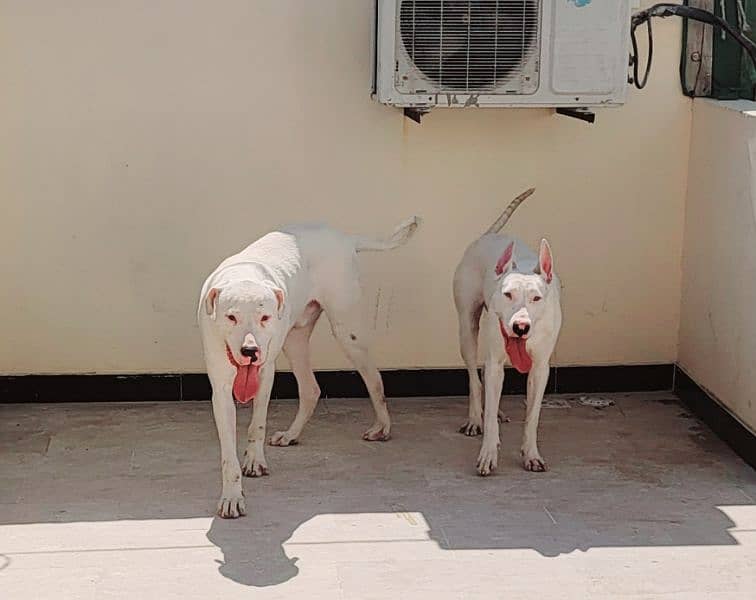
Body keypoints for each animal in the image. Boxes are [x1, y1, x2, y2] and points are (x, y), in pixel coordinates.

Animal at [199, 218, 420, 516]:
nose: (250, 351)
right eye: (231, 317)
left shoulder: (265, 375)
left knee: (374, 379)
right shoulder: (221, 389)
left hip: (347, 331)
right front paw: (232, 495)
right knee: (311, 389)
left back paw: (381, 427)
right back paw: (291, 434)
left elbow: (257, 424)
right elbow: (228, 453)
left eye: (265, 317)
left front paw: (255, 461)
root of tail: (345, 238)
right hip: (296, 341)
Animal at [454, 190, 560, 476]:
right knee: (475, 377)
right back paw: (474, 418)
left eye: (536, 298)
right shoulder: (495, 360)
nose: (520, 327)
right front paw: (488, 455)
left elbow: (532, 416)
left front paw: (531, 455)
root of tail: (486, 236)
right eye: (507, 294)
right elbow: (489, 415)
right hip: (467, 328)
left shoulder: (540, 368)